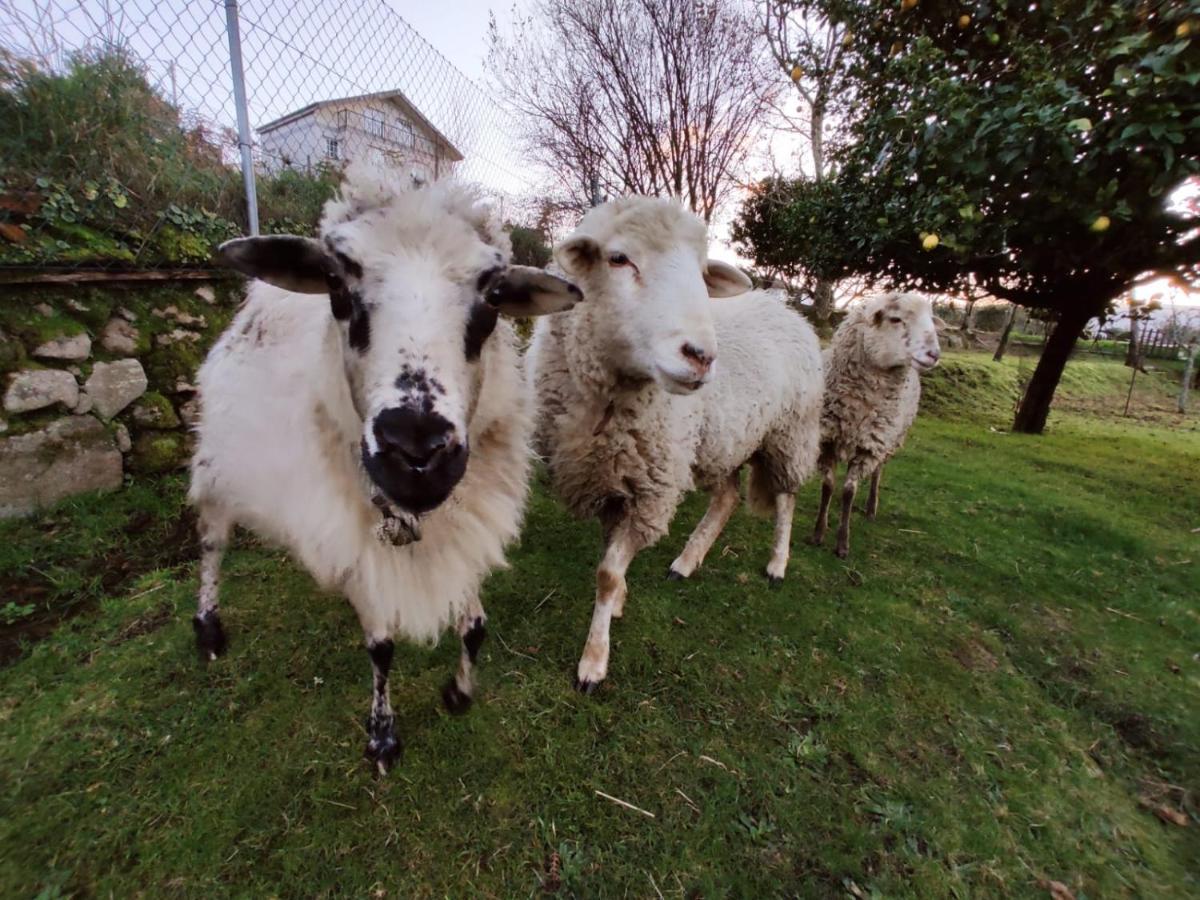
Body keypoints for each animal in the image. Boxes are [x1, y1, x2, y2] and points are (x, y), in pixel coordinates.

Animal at [532, 195, 825, 691]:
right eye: (618, 258)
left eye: (702, 273)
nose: (702, 356)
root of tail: (786, 308)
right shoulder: (616, 477)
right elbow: (610, 553)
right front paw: (620, 602)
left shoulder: (651, 485)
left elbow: (606, 573)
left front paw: (594, 661)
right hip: (726, 439)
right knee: (726, 498)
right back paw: (686, 561)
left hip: (789, 433)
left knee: (786, 499)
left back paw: (777, 565)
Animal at [811, 290, 940, 556]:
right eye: (895, 319)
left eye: (931, 321)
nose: (934, 354)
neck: (857, 407)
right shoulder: (826, 439)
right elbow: (828, 486)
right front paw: (818, 532)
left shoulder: (868, 447)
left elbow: (849, 491)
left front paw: (842, 542)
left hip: (888, 440)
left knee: (878, 472)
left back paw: (871, 507)